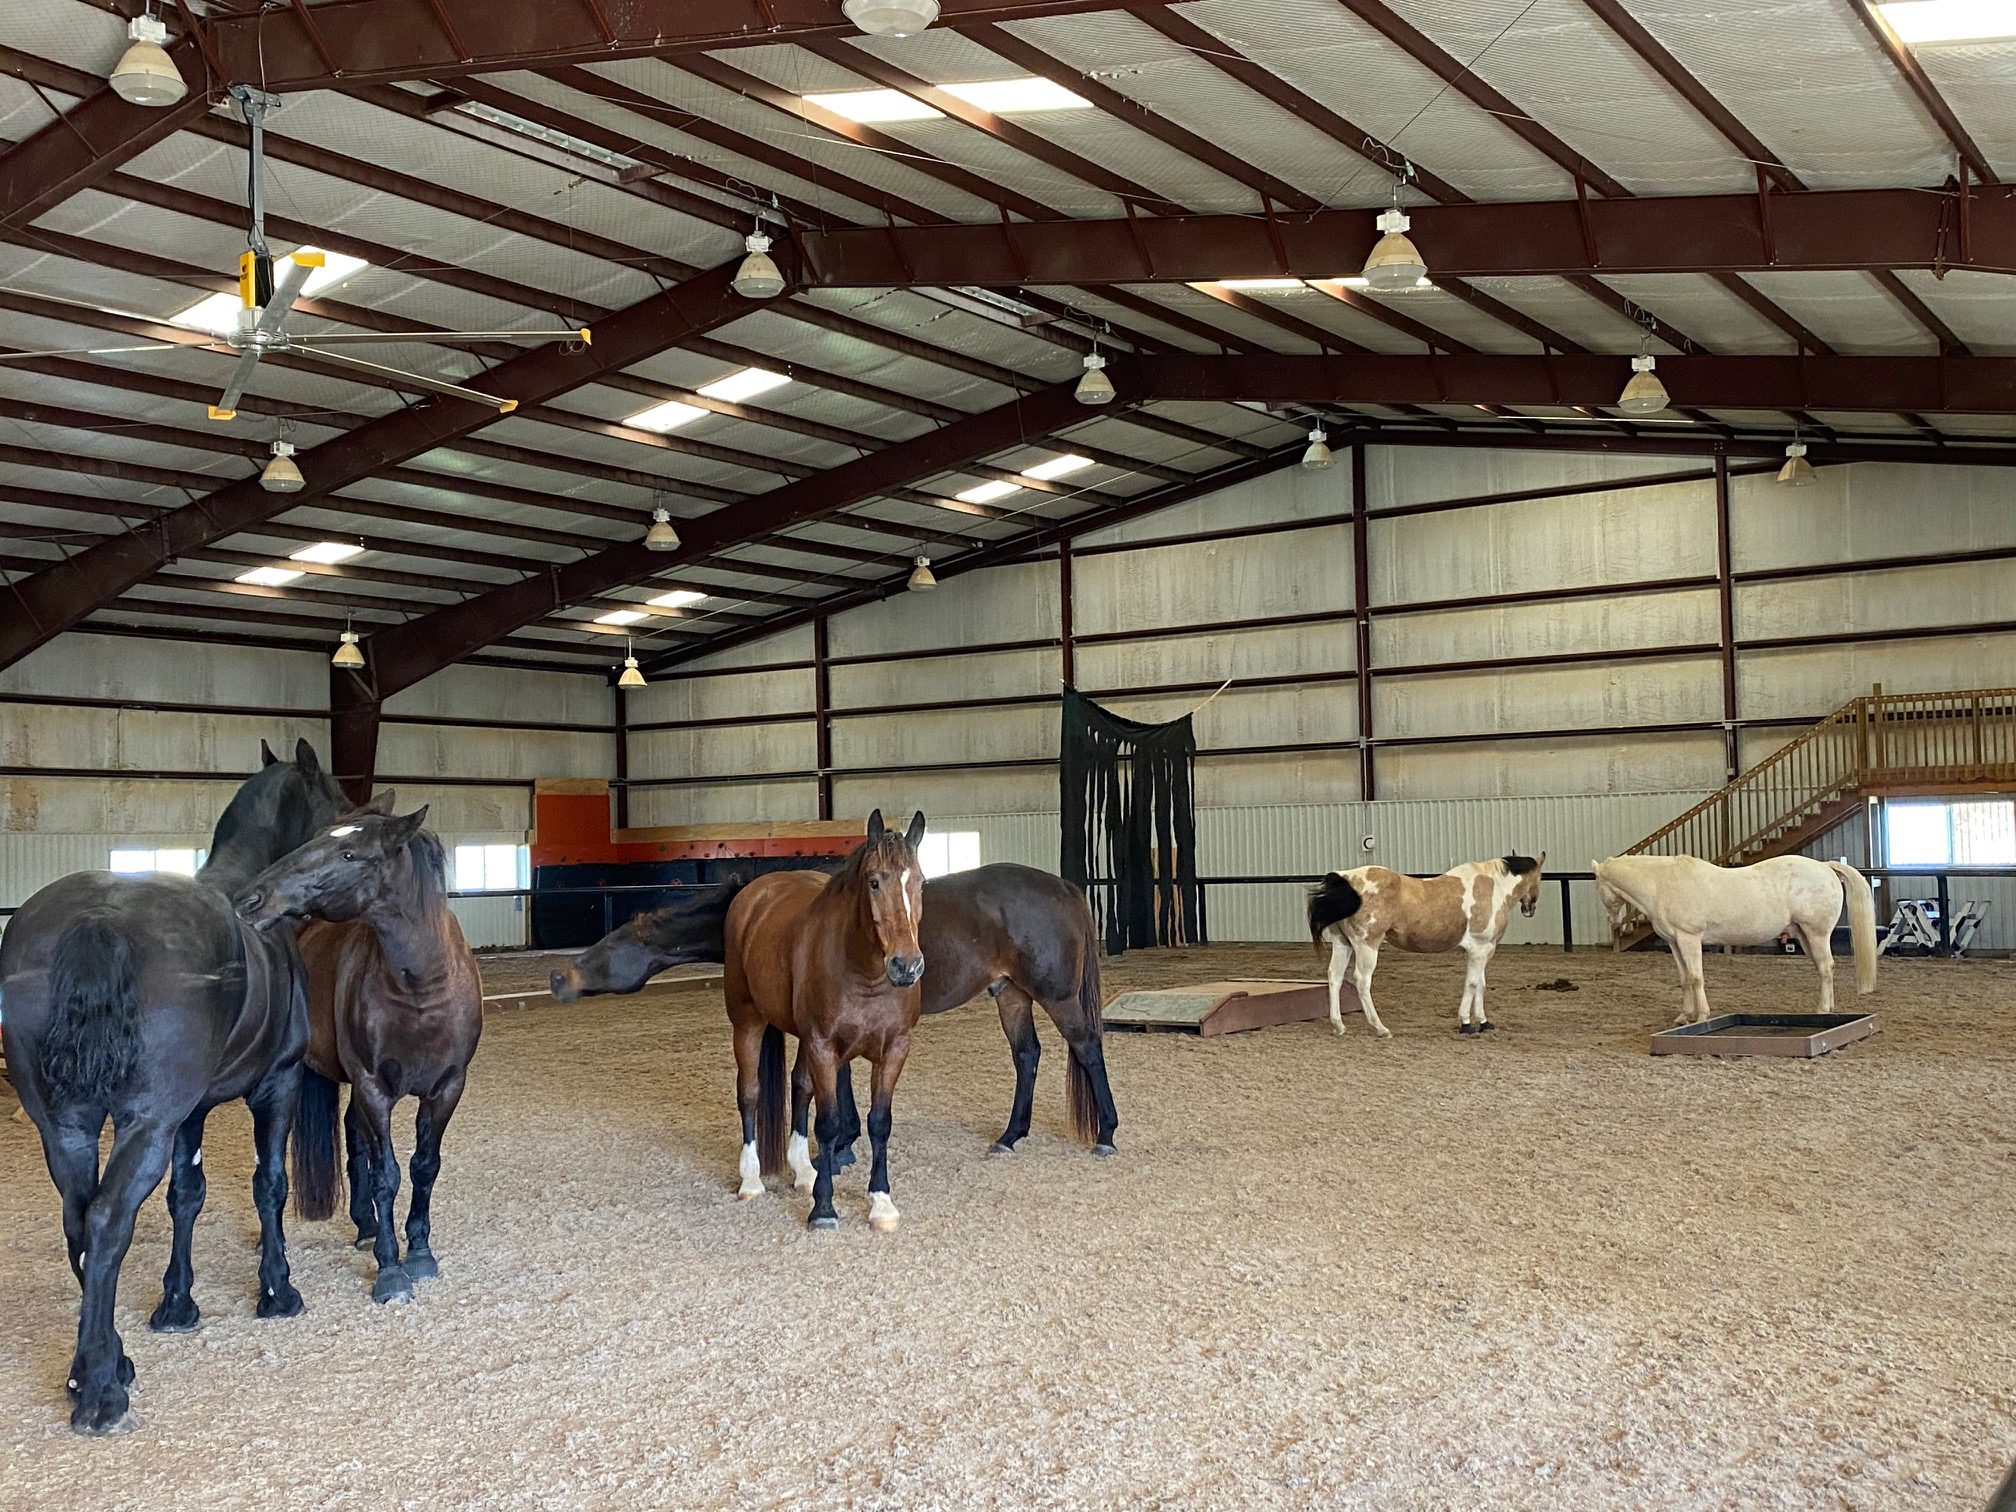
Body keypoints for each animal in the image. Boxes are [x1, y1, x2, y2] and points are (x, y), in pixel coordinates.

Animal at [0, 741, 344, 1435]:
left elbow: (186, 1196)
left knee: (81, 1221)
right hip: (143, 1125)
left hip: (64, 1126)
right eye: (336, 810)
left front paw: (177, 1303)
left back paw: (99, 1366)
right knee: (107, 1219)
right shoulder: (276, 1085)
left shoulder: (192, 1110)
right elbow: (268, 1185)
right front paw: (278, 1290)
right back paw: (102, 1391)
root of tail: (96, 919)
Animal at [232, 798, 483, 1306]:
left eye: (349, 854)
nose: (251, 901)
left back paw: (365, 1226)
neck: (421, 990)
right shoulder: (373, 1087)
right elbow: (387, 1174)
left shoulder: (447, 1088)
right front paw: (391, 1271)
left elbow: (424, 1166)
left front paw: (419, 1252)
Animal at [725, 818, 927, 1233]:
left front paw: (881, 1203)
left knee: (800, 1088)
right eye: (874, 882)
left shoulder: (895, 1048)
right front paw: (823, 1208)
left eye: (919, 882)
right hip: (747, 1021)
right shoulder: (823, 1047)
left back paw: (803, 1172)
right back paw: (751, 1179)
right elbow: (829, 1123)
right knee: (749, 1092)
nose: (907, 966)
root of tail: (756, 893)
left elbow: (879, 1122)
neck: (866, 974)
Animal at [1306, 854, 1540, 1040]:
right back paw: (1380, 1028)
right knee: (1362, 981)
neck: (1492, 887)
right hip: (1367, 945)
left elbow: (1481, 984)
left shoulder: (1482, 951)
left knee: (1335, 976)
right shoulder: (1479, 949)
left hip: (1343, 943)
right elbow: (1472, 984)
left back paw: (1339, 1026)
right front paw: (1466, 1023)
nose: (1530, 908)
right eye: (1539, 877)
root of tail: (1345, 879)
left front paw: (1484, 1022)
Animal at [1596, 854, 1878, 1032]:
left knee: (1826, 968)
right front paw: (1684, 1016)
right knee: (1823, 969)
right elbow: (1685, 979)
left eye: (1599, 886)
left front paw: (1702, 1016)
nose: (1612, 921)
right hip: (1804, 934)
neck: (1662, 884)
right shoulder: (1675, 942)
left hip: (1816, 933)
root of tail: (1824, 866)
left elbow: (1696, 978)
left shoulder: (1689, 938)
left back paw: (1822, 1009)